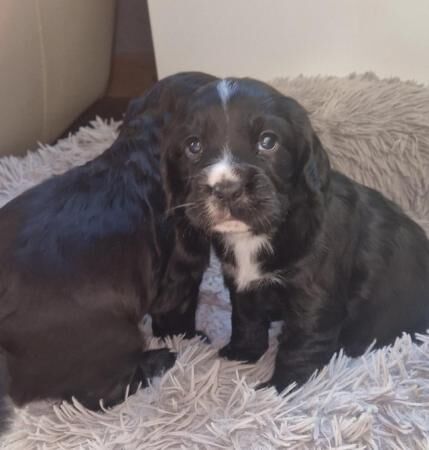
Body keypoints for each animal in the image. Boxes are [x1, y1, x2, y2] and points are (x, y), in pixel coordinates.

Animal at [0, 72, 214, 410]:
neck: (141, 156)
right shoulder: (183, 274)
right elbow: (178, 317)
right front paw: (193, 339)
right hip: (115, 334)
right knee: (101, 395)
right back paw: (158, 361)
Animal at [161, 76, 428, 390]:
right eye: (193, 145)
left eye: (268, 141)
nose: (227, 189)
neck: (261, 233)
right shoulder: (242, 283)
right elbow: (246, 319)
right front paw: (242, 353)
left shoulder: (313, 296)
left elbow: (300, 344)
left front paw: (280, 387)